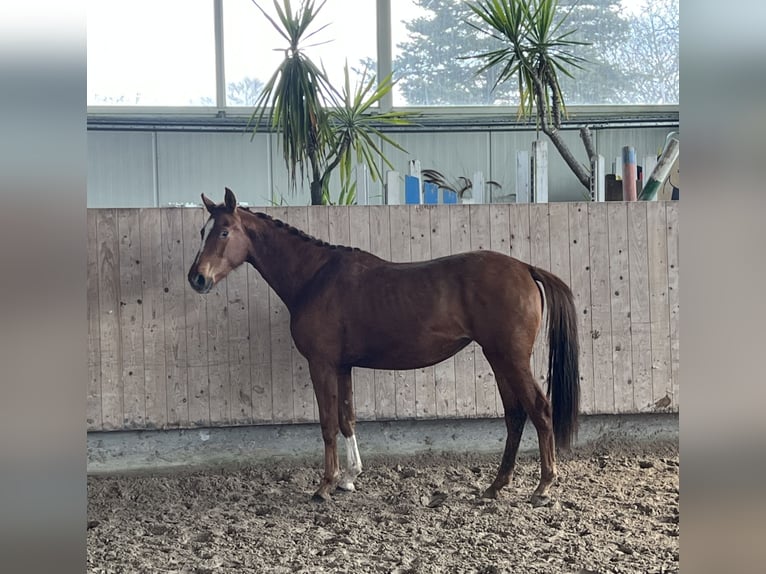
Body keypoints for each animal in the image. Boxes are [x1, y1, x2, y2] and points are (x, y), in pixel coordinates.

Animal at [188, 188, 580, 506]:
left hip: (511, 358)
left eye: (224, 231)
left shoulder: (321, 364)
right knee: (514, 415)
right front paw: (349, 478)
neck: (315, 278)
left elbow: (327, 423)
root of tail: (525, 267)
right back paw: (496, 485)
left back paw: (543, 487)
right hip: (498, 358)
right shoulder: (342, 367)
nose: (197, 278)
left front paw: (325, 485)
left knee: (540, 410)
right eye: (203, 231)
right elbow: (347, 419)